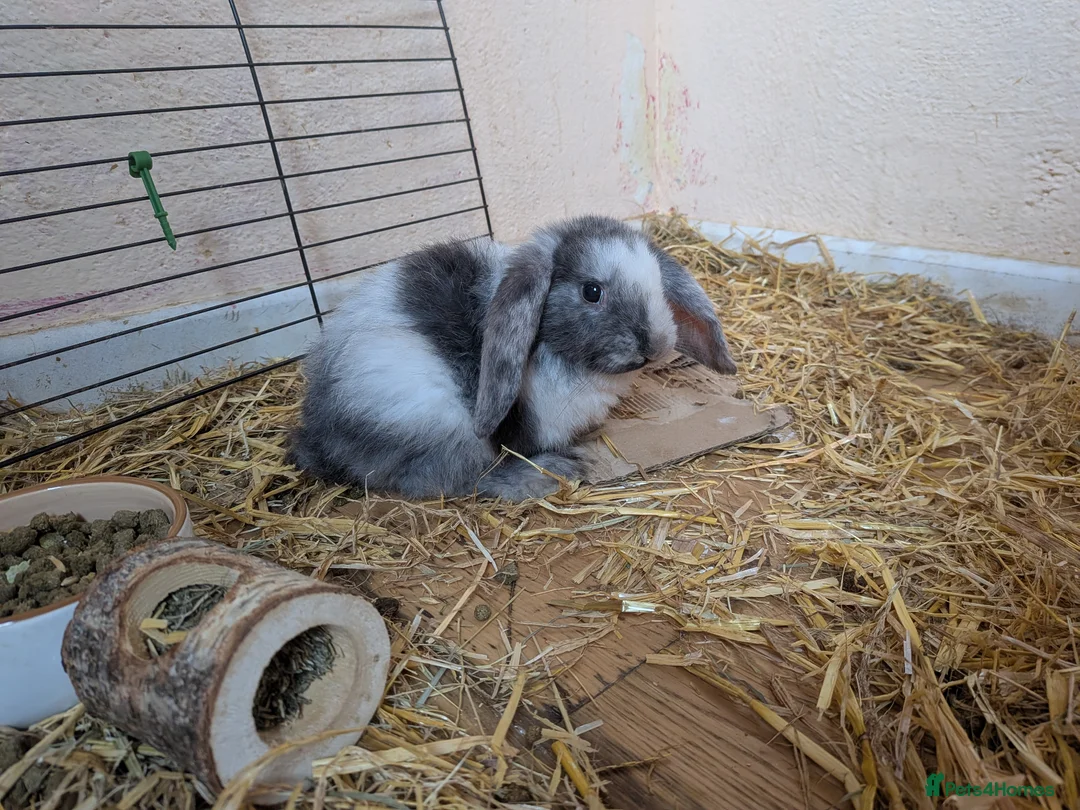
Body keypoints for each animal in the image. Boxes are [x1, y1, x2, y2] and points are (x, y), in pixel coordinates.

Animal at [286, 215, 737, 502]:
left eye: (659, 285)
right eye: (592, 291)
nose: (654, 346)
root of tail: (320, 432)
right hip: (439, 423)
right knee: (453, 480)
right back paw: (548, 473)